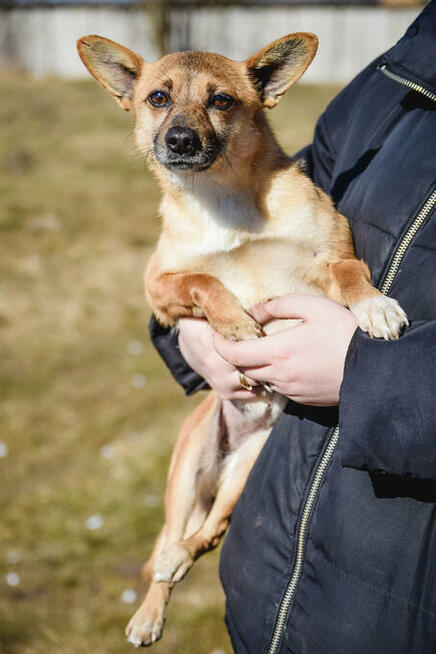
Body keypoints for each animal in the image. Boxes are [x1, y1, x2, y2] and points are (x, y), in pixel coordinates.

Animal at [76, 33, 408, 648]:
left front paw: (375, 305)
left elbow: (353, 276)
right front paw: (232, 322)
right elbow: (203, 279)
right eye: (157, 98)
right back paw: (149, 613)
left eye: (222, 101)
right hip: (187, 472)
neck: (224, 200)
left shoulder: (332, 262)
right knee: (173, 538)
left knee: (207, 533)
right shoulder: (160, 288)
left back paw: (178, 561)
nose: (179, 140)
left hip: (242, 473)